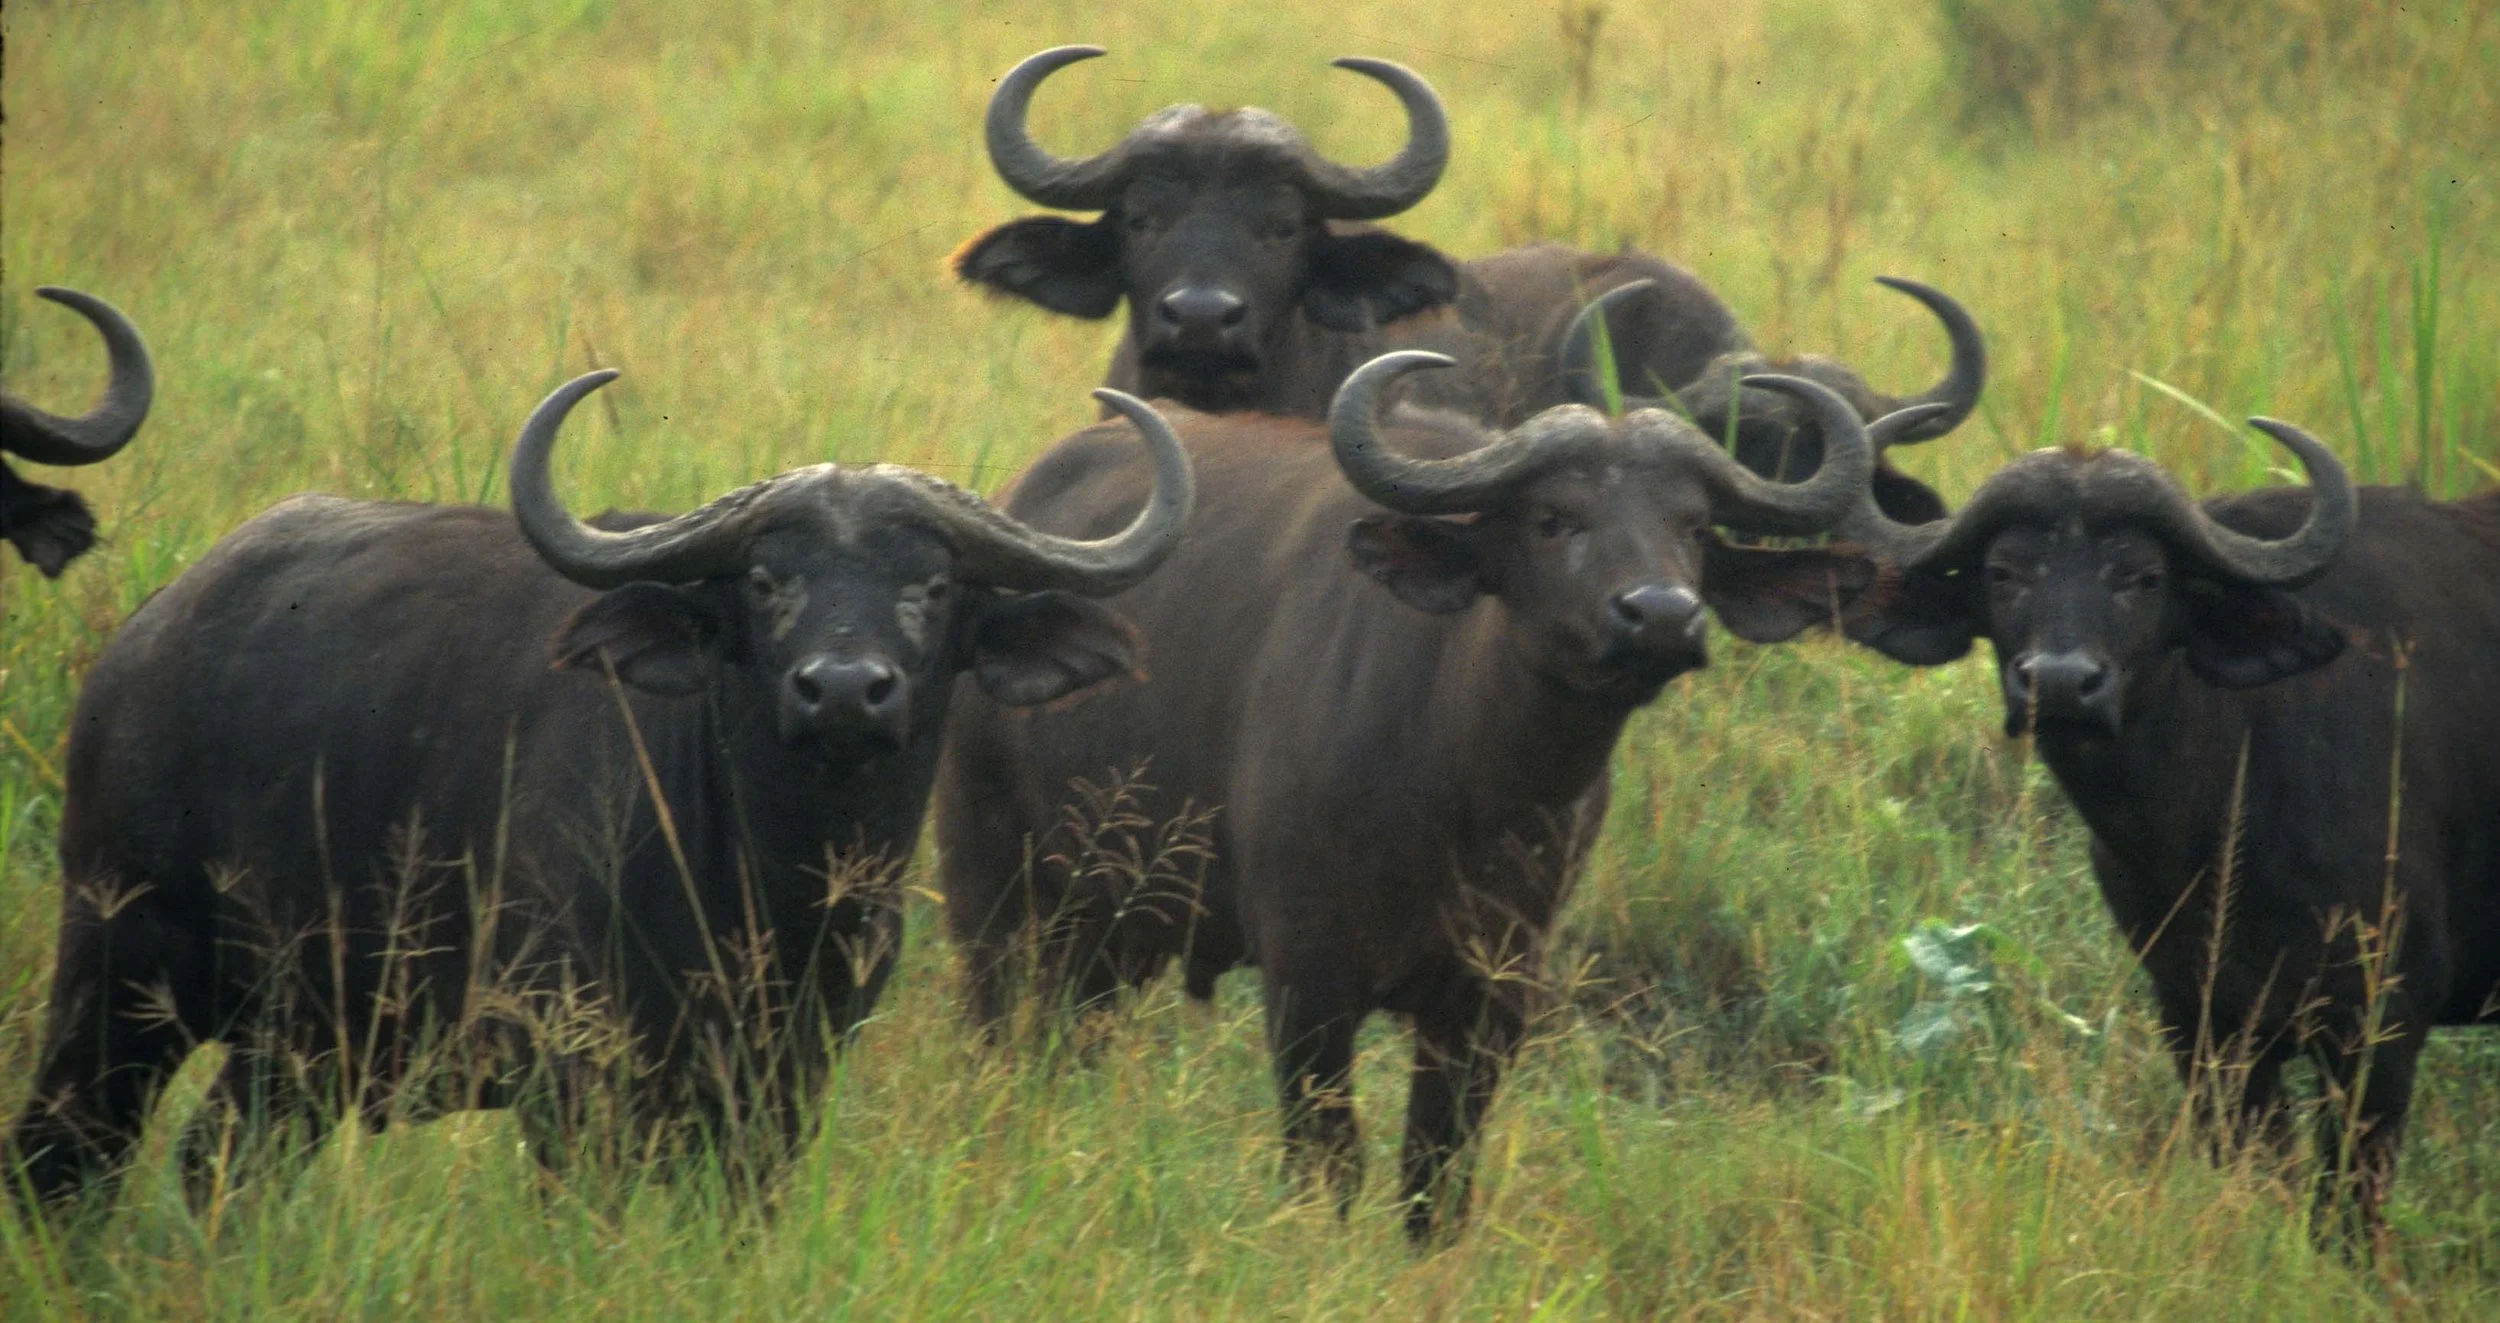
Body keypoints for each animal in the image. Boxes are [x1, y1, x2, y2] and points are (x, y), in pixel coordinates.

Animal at [6, 372, 1193, 1212]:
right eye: (765, 580)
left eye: (932, 585)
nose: (845, 690)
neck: (768, 885)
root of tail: (146, 640)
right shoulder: (571, 1084)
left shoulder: (781, 1092)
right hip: (120, 967)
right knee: (60, 1159)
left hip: (297, 1043)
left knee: (217, 1160)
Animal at [934, 350, 1928, 1240]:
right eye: (1553, 518)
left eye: (1691, 524)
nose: (1661, 614)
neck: (1469, 793)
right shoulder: (1306, 976)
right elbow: (1330, 1161)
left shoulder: (1494, 992)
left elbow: (1436, 1176)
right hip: (991, 886)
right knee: (996, 1029)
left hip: (1112, 928)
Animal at [1836, 422, 2498, 1237]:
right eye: (2003, 572)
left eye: (2144, 577)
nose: (2061, 684)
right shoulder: (2200, 1021)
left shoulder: (2381, 1024)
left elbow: (2346, 1211)